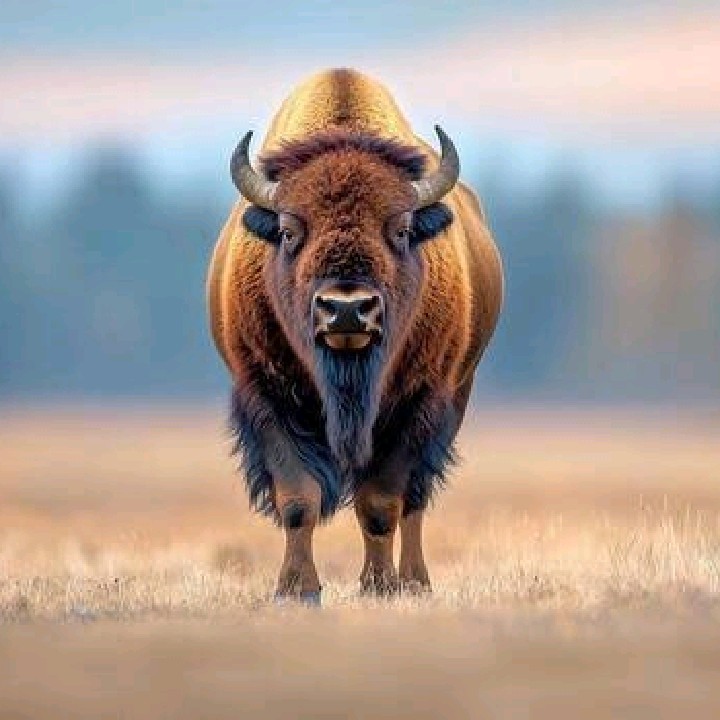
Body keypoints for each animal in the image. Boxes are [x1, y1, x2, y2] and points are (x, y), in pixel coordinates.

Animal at [207, 68, 503, 602]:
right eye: (288, 231)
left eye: (402, 229)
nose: (347, 310)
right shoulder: (266, 397)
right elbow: (298, 498)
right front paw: (297, 589)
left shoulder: (418, 403)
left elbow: (382, 503)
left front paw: (379, 586)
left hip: (455, 398)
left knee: (415, 502)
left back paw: (415, 582)